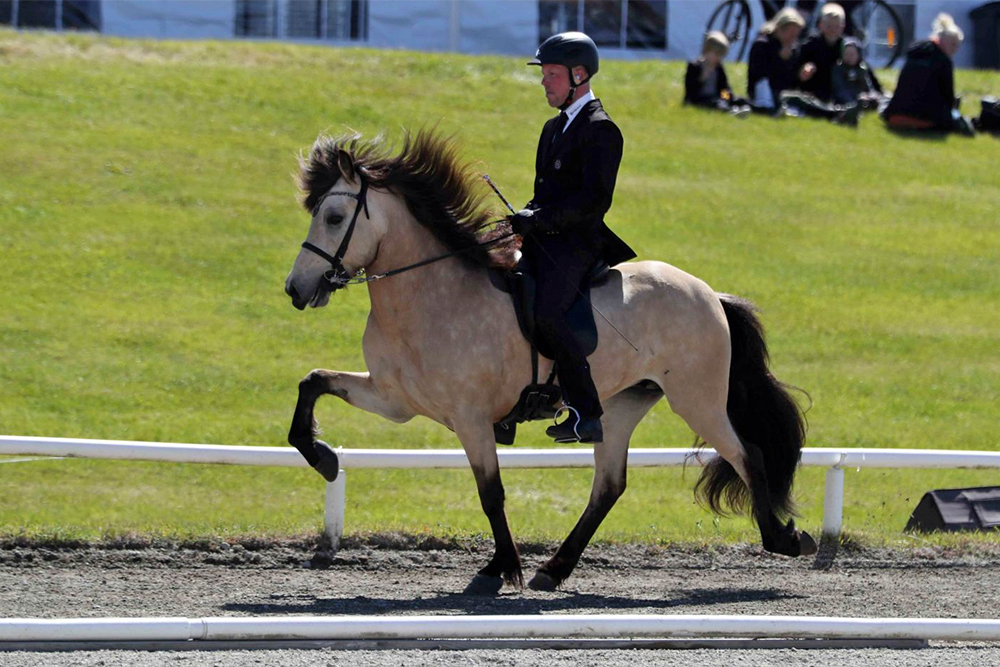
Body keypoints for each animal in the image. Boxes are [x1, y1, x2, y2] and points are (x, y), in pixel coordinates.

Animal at [282, 129, 812, 596]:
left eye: (334, 216)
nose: (295, 290)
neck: (429, 295)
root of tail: (710, 294)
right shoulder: (393, 400)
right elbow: (313, 382)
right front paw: (323, 458)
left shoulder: (471, 417)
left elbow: (491, 492)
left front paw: (502, 569)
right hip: (620, 405)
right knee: (609, 486)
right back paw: (554, 570)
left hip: (696, 399)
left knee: (748, 455)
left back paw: (784, 539)